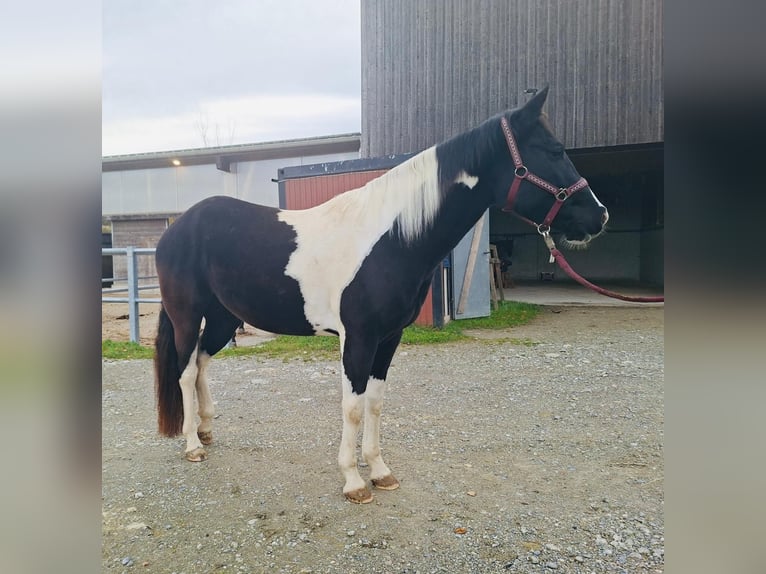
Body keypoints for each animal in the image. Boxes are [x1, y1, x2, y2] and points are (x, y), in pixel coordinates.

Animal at [153, 87, 609, 504]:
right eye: (553, 150)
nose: (600, 216)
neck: (391, 240)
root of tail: (178, 226)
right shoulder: (357, 338)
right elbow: (352, 406)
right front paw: (353, 481)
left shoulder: (389, 338)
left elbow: (374, 402)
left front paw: (380, 471)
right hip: (186, 314)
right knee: (185, 370)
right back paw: (192, 445)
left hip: (224, 316)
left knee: (202, 361)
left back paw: (206, 430)